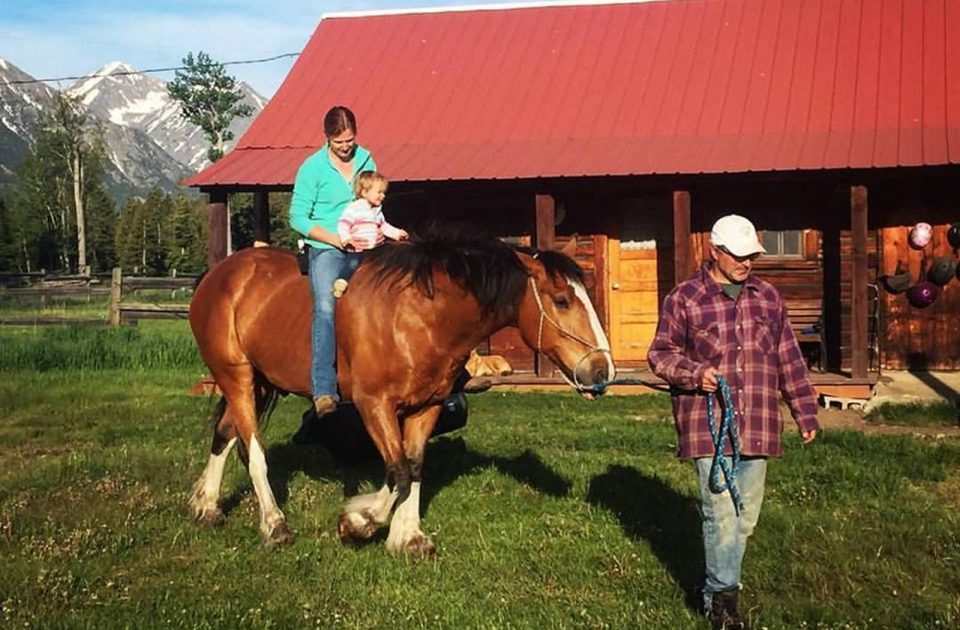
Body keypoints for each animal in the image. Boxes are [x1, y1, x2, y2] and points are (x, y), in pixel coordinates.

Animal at [188, 233, 616, 556]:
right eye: (562, 300)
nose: (602, 370)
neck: (420, 318)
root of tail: (219, 274)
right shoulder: (374, 405)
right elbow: (396, 472)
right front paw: (359, 522)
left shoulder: (426, 407)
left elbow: (413, 466)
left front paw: (408, 536)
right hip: (237, 376)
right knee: (252, 451)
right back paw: (274, 524)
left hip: (259, 382)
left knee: (224, 435)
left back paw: (205, 505)